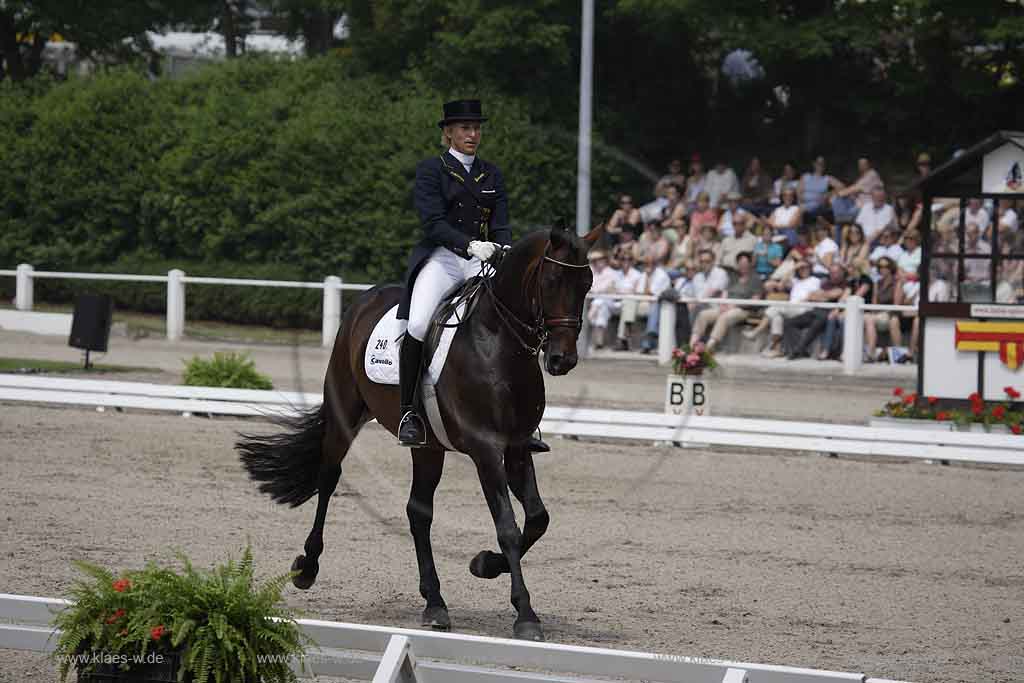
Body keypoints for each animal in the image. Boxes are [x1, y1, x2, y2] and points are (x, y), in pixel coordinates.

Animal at [237, 220, 598, 643]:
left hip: (428, 446)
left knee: (418, 511)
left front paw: (484, 564)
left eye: (587, 283)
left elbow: (538, 518)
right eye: (553, 280)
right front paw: (525, 614)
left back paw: (435, 603)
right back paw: (307, 568)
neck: (497, 342)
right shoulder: (485, 449)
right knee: (329, 478)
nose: (562, 359)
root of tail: (366, 300)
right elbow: (508, 527)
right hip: (345, 414)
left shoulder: (516, 447)